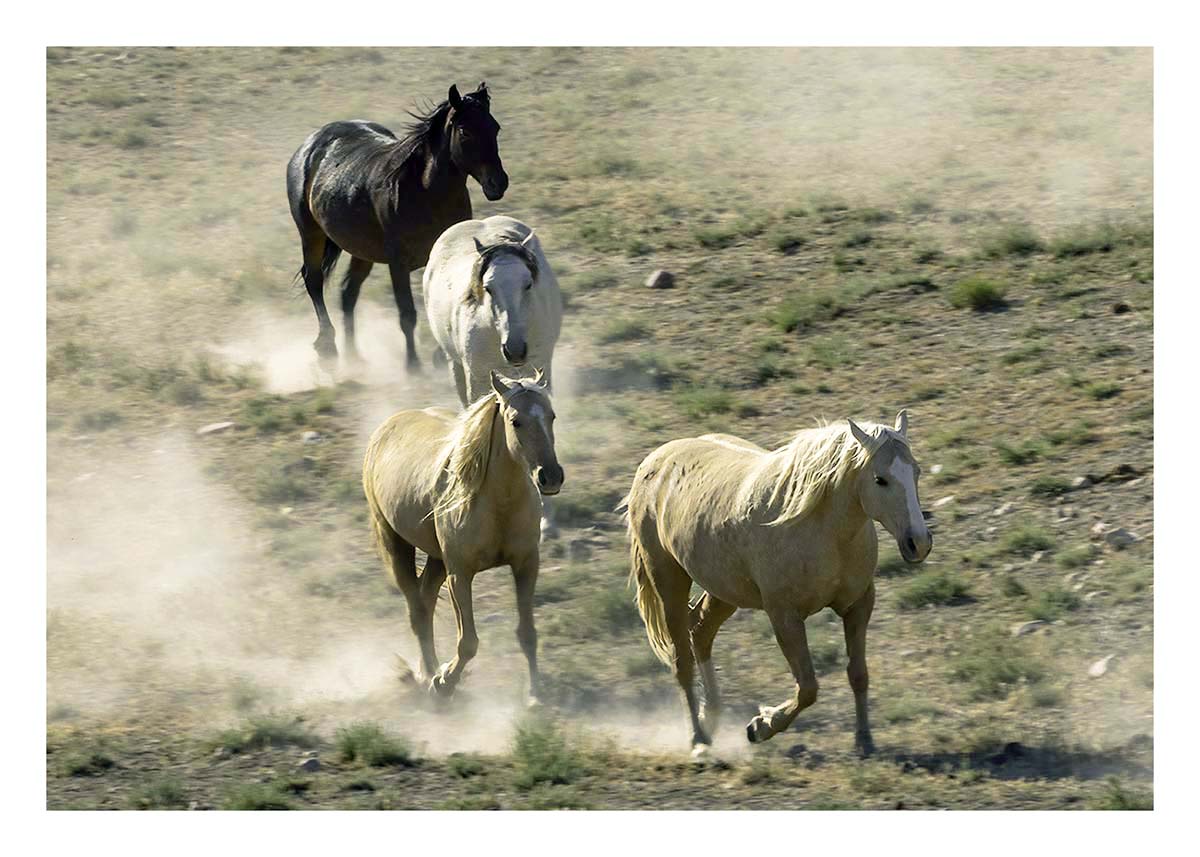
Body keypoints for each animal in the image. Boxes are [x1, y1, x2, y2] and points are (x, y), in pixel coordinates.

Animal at [286, 82, 508, 370]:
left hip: (362, 250)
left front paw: (439, 357)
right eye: (465, 131)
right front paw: (413, 365)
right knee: (314, 280)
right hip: (311, 233)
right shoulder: (398, 264)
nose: (498, 183)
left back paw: (355, 356)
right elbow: (407, 313)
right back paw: (328, 347)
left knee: (348, 293)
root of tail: (310, 145)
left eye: (495, 127)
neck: (425, 192)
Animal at [362, 370, 562, 706]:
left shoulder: (526, 565)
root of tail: (387, 427)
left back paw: (428, 670)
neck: (497, 504)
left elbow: (527, 632)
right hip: (395, 543)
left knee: (426, 599)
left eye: (551, 416)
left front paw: (535, 694)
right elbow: (468, 642)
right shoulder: (460, 574)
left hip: (437, 558)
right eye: (516, 421)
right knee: (417, 611)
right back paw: (429, 676)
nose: (551, 476)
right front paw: (443, 683)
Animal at [623, 411, 933, 757]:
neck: (822, 531)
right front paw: (761, 726)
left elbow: (858, 674)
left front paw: (864, 740)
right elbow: (808, 687)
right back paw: (699, 739)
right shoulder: (784, 615)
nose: (919, 543)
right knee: (681, 659)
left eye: (916, 471)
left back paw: (711, 718)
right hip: (668, 579)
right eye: (881, 479)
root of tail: (654, 462)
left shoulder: (858, 605)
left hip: (724, 591)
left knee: (700, 632)